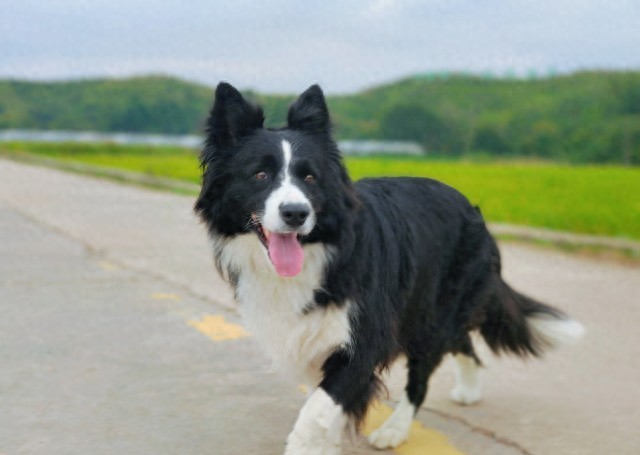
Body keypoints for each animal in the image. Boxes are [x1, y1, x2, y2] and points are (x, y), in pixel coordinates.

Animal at [194, 82, 584, 454]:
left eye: (310, 178)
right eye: (259, 174)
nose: (296, 213)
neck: (318, 253)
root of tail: (474, 211)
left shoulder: (365, 335)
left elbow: (317, 409)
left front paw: (309, 445)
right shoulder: (310, 336)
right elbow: (324, 404)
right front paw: (328, 445)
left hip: (433, 310)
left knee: (423, 376)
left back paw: (395, 430)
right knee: (461, 341)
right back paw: (469, 389)